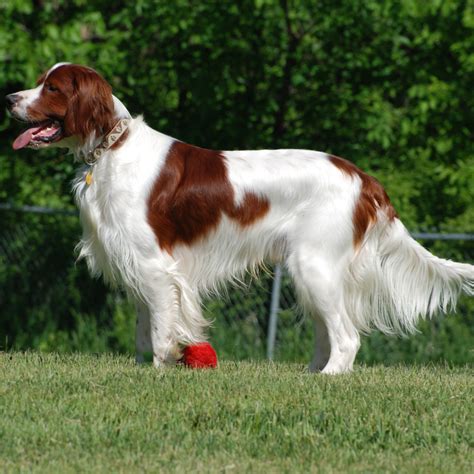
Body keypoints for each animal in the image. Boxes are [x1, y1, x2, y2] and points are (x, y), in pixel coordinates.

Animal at [7, 64, 474, 374]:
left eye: (51, 87)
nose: (9, 99)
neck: (112, 148)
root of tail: (363, 178)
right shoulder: (137, 265)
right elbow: (144, 330)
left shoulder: (155, 267)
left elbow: (159, 331)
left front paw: (158, 373)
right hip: (312, 274)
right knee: (328, 333)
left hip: (314, 267)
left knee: (347, 337)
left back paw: (328, 379)